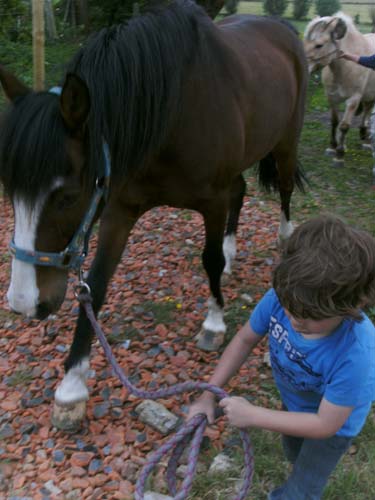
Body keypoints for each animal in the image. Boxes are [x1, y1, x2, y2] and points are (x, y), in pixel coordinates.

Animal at [0, 0, 306, 430]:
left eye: (67, 197)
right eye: (10, 191)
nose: (25, 303)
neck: (172, 114)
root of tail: (283, 29)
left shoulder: (211, 201)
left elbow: (209, 260)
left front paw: (214, 323)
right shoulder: (119, 208)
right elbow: (96, 284)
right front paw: (72, 385)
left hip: (285, 143)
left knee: (285, 189)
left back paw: (285, 238)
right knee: (241, 192)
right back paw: (233, 254)